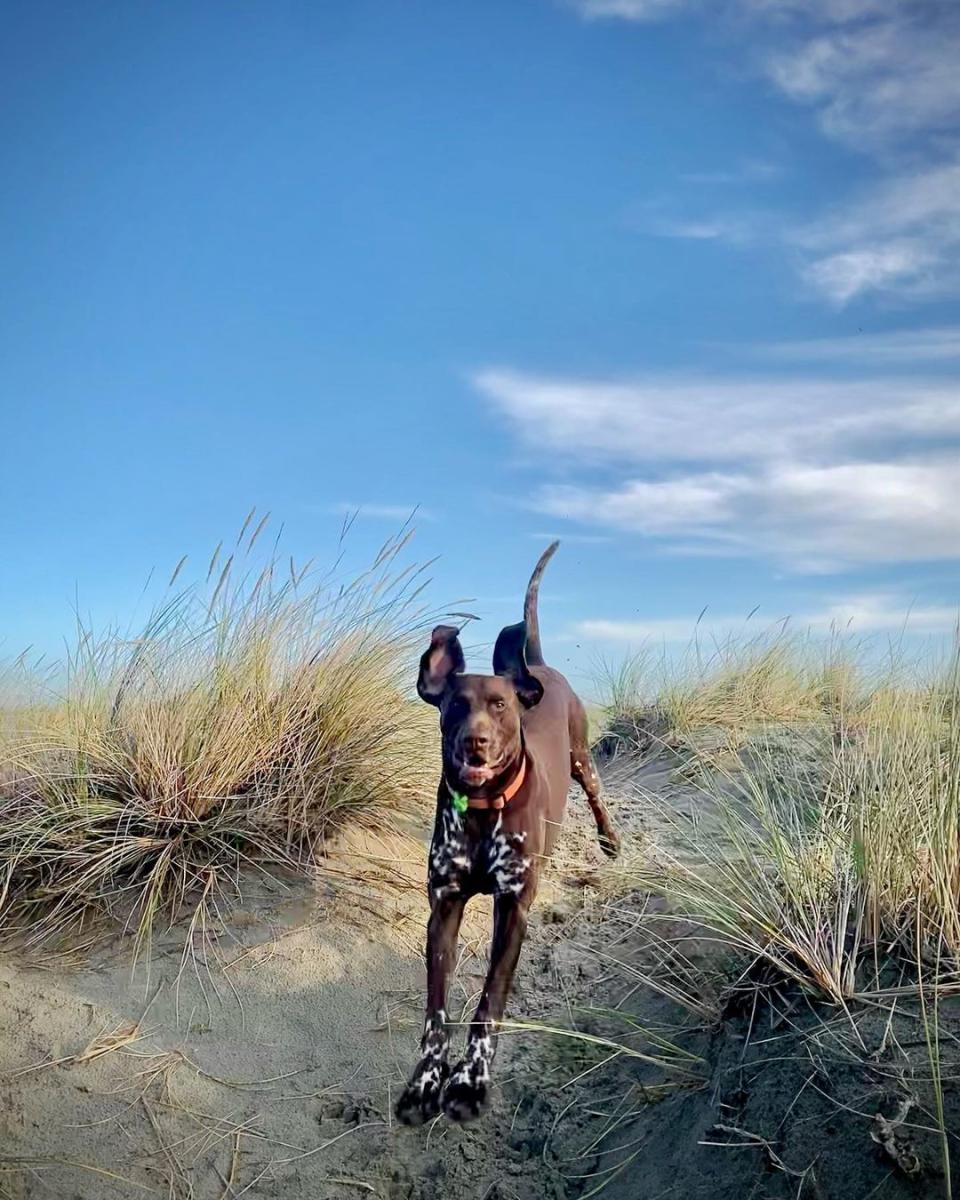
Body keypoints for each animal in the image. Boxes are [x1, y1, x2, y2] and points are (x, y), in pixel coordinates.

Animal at [393, 544, 619, 1123]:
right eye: (453, 705)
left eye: (499, 706)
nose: (474, 742)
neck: (479, 811)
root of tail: (533, 667)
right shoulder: (443, 909)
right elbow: (436, 1011)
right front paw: (426, 1081)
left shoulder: (512, 908)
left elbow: (488, 1000)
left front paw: (470, 1081)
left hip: (583, 758)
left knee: (596, 796)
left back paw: (610, 840)